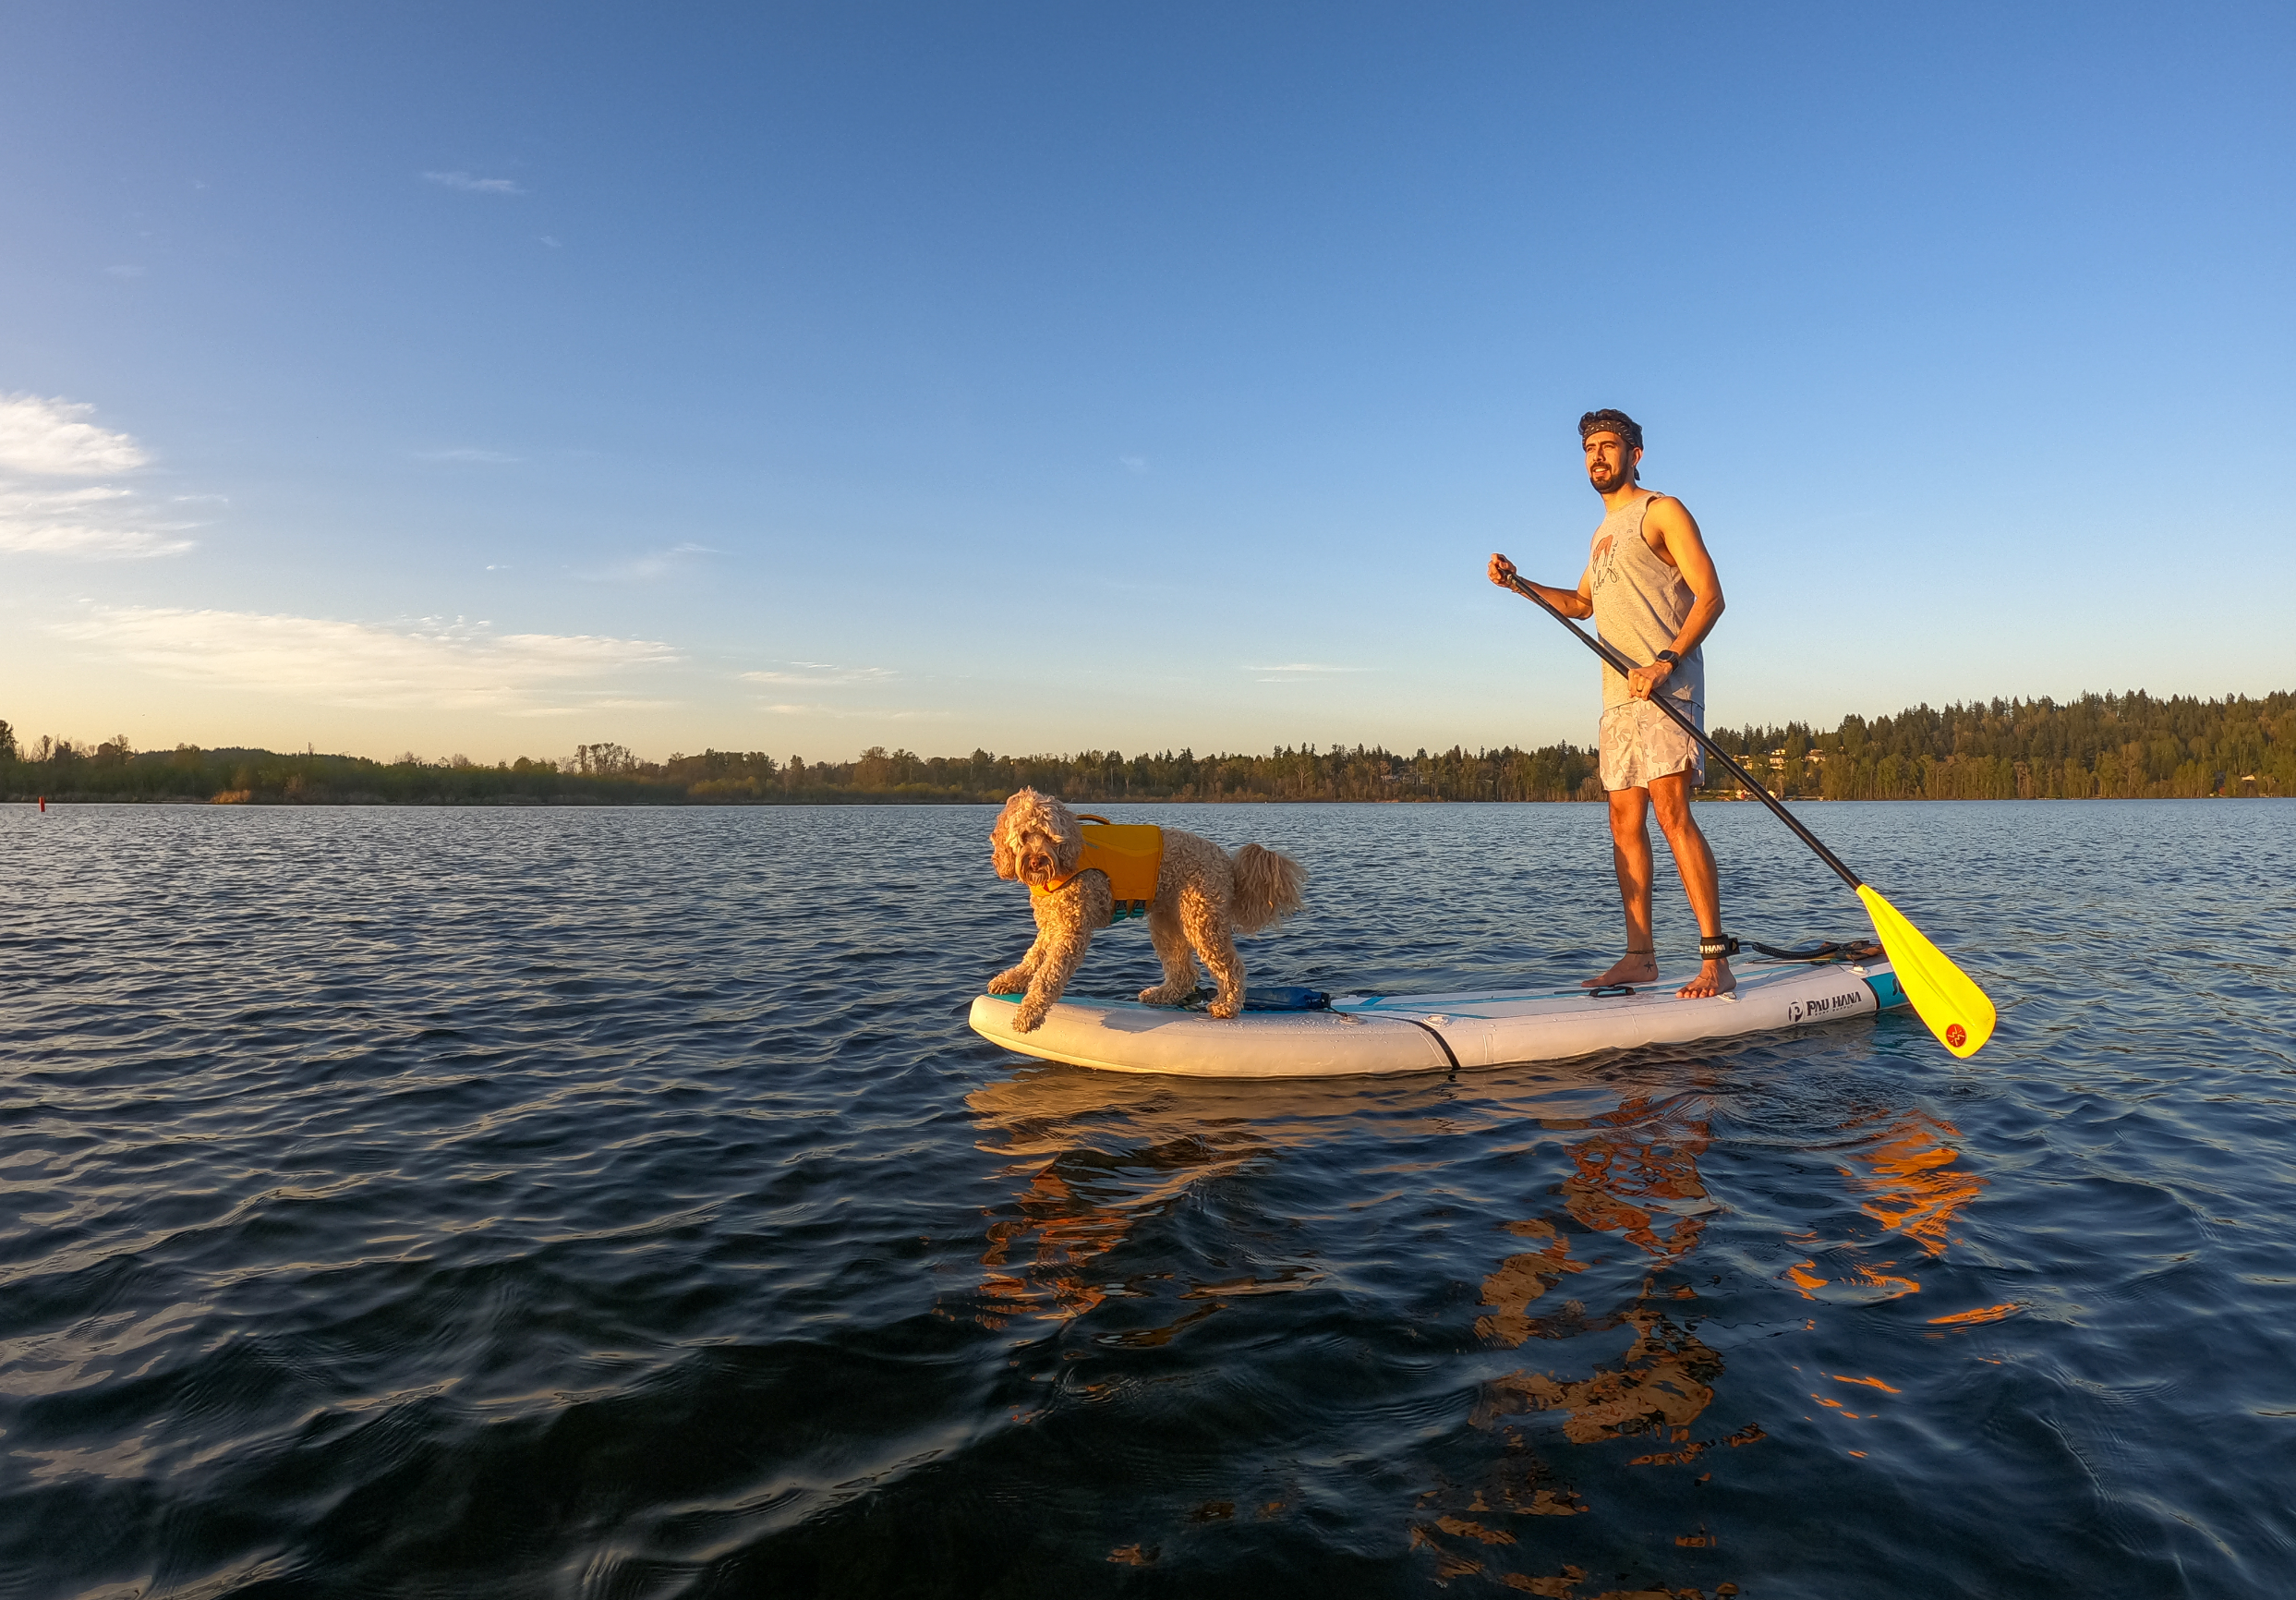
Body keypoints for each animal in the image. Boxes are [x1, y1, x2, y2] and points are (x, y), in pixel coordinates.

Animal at [991, 789, 1312, 1037]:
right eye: (1024, 835)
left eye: (1048, 835)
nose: (1036, 861)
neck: (1066, 859)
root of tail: (1226, 862)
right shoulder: (1052, 925)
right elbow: (1032, 958)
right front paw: (1011, 980)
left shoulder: (1071, 932)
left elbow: (1048, 976)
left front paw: (1028, 1014)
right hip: (1166, 921)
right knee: (1184, 972)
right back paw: (1161, 995)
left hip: (1201, 919)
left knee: (1231, 967)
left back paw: (1227, 1006)